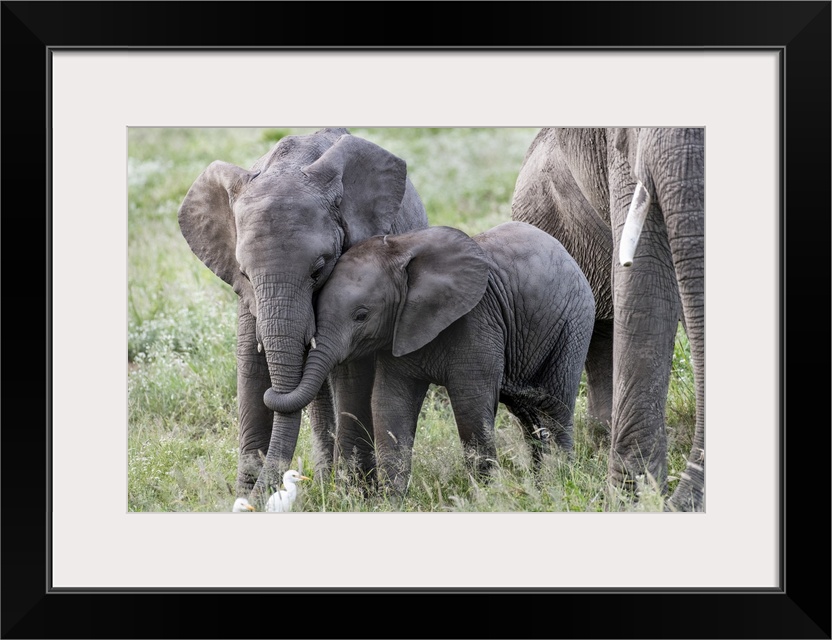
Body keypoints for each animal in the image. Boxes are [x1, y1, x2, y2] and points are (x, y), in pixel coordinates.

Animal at [178, 127, 428, 507]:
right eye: (244, 273)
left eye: (319, 269)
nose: (258, 500)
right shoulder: (246, 298)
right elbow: (250, 367)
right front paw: (244, 497)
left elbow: (351, 373)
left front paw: (351, 499)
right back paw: (324, 481)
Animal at [264, 221, 596, 494]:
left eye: (361, 315)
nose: (270, 392)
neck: (402, 250)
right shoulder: (400, 330)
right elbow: (390, 403)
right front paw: (392, 502)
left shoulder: (476, 320)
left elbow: (471, 406)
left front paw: (486, 496)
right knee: (530, 416)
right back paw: (541, 483)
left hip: (574, 322)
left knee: (556, 406)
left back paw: (560, 481)